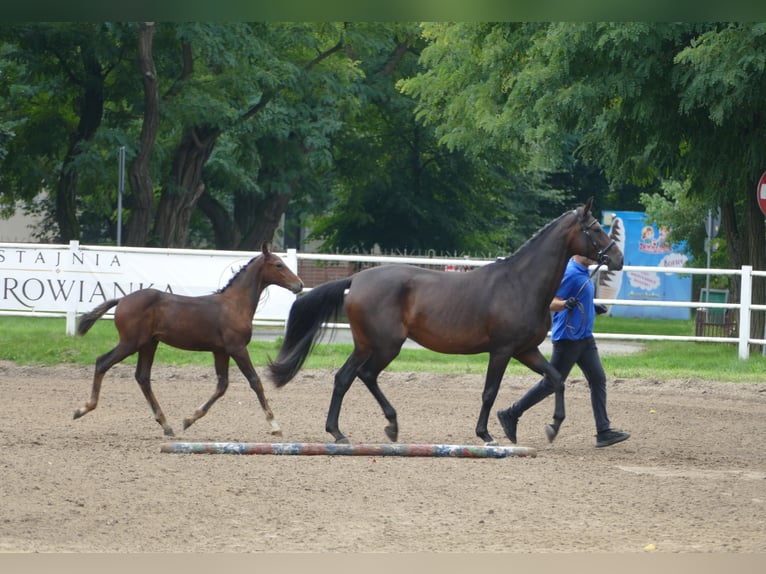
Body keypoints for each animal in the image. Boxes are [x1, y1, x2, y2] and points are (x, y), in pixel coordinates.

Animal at [74, 242, 303, 437]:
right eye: (278, 264)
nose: (299, 285)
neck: (235, 304)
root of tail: (122, 299)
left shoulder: (220, 351)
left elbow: (222, 385)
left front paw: (189, 420)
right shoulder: (237, 348)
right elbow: (255, 382)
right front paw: (275, 426)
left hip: (148, 344)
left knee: (142, 377)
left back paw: (166, 425)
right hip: (130, 343)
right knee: (102, 362)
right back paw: (83, 408)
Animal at [268, 197, 623, 445]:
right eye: (595, 228)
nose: (617, 258)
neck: (520, 284)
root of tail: (356, 280)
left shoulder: (526, 350)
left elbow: (556, 379)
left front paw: (551, 426)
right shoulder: (502, 350)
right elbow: (489, 391)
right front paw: (485, 434)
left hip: (366, 345)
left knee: (345, 378)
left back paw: (342, 431)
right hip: (385, 345)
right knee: (364, 375)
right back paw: (384, 426)